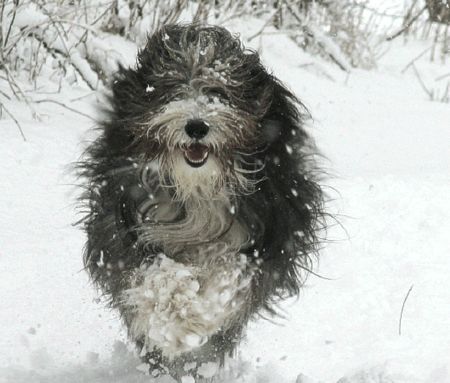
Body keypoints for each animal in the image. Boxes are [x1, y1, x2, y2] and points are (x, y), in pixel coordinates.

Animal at [80, 23, 324, 380]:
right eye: (173, 90)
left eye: (220, 92)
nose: (197, 126)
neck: (197, 188)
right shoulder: (123, 225)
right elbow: (152, 273)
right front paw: (178, 315)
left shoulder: (266, 235)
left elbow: (229, 272)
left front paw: (200, 313)